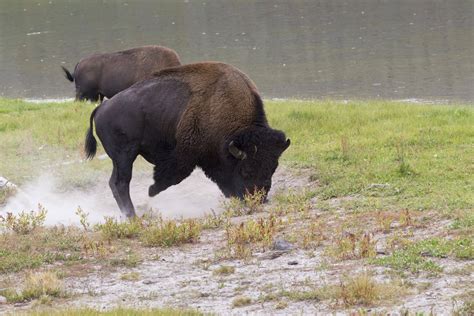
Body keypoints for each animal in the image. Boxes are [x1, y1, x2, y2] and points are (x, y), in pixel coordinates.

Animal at [84, 61, 288, 217]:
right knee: (121, 182)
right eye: (246, 171)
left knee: (114, 182)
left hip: (121, 158)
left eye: (273, 168)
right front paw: (152, 190)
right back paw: (132, 216)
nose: (258, 199)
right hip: (125, 155)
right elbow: (174, 175)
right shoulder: (185, 152)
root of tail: (101, 108)